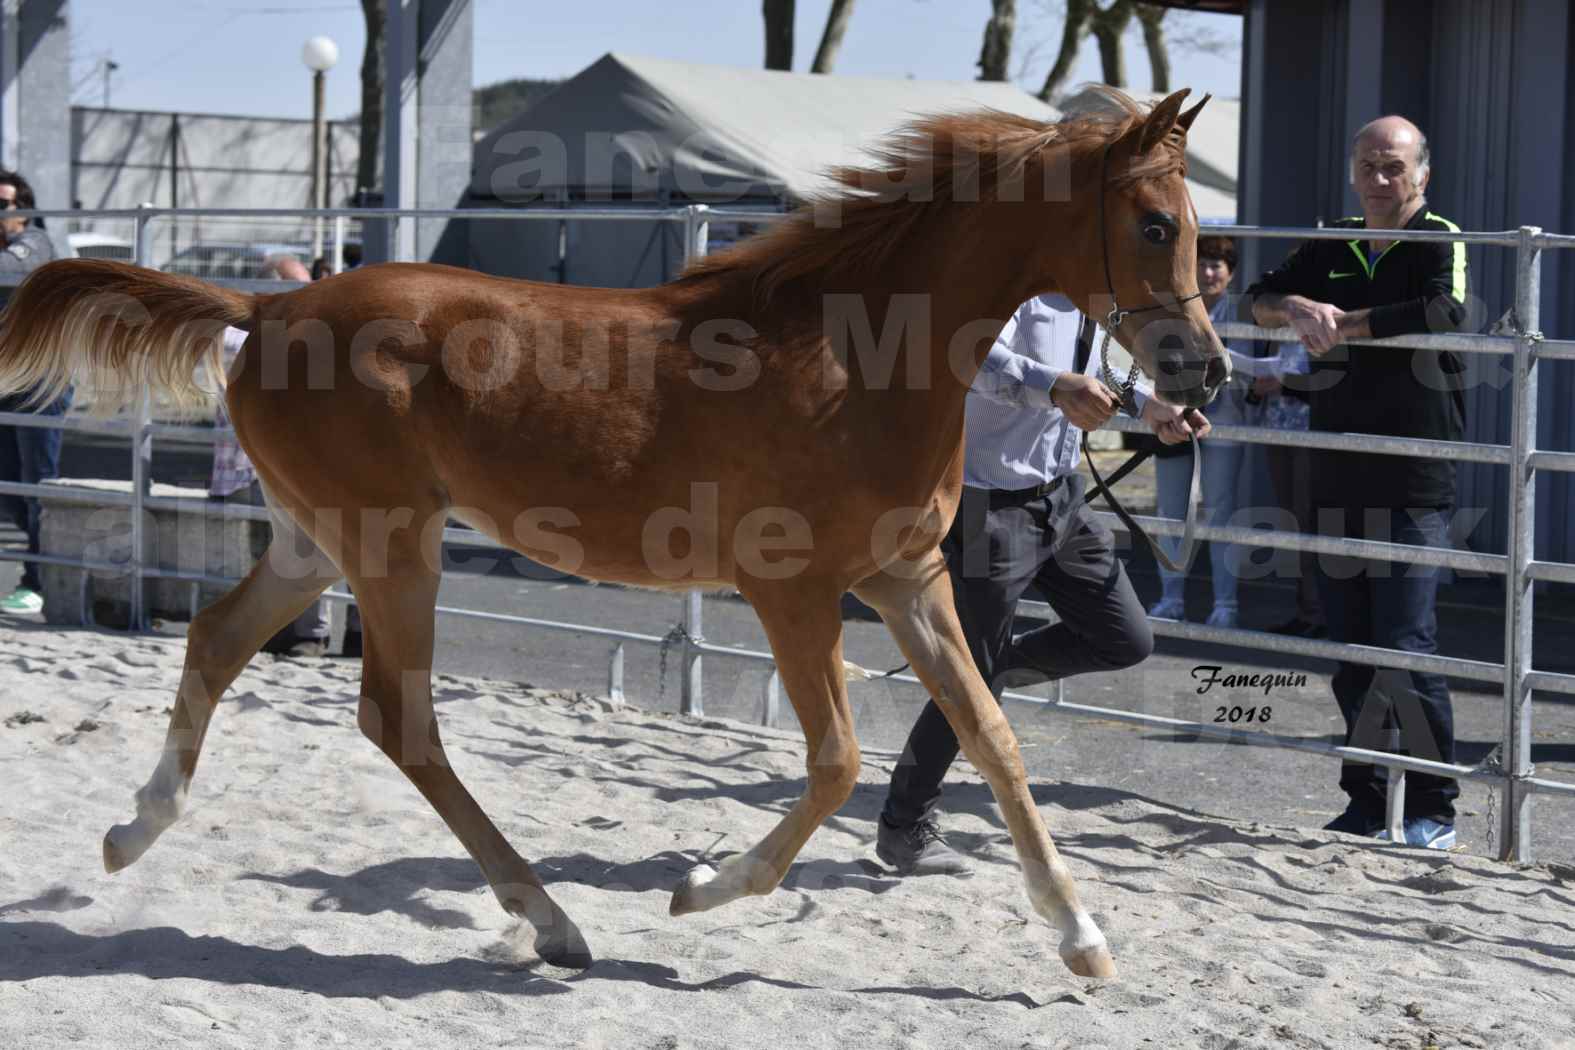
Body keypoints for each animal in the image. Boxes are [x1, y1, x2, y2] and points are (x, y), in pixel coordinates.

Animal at [0, 88, 1228, 976]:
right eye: (1155, 223)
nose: (1202, 370)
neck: (853, 356)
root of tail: (268, 307)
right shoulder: (792, 590)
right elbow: (836, 761)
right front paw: (699, 890)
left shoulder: (906, 578)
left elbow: (990, 736)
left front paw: (1082, 938)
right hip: (390, 543)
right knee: (398, 720)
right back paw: (551, 923)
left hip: (317, 539)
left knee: (216, 637)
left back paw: (132, 833)